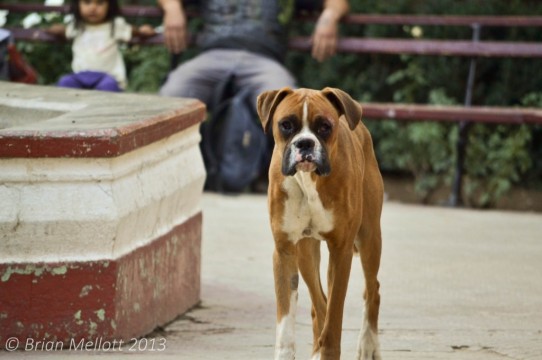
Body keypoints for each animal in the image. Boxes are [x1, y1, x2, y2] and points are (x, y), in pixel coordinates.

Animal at [258, 88, 384, 360]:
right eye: (286, 125)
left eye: (324, 127)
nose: (305, 143)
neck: (309, 180)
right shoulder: (284, 251)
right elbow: (287, 318)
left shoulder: (341, 251)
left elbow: (335, 315)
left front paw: (330, 350)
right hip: (305, 253)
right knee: (319, 303)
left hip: (369, 238)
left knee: (373, 290)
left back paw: (368, 344)